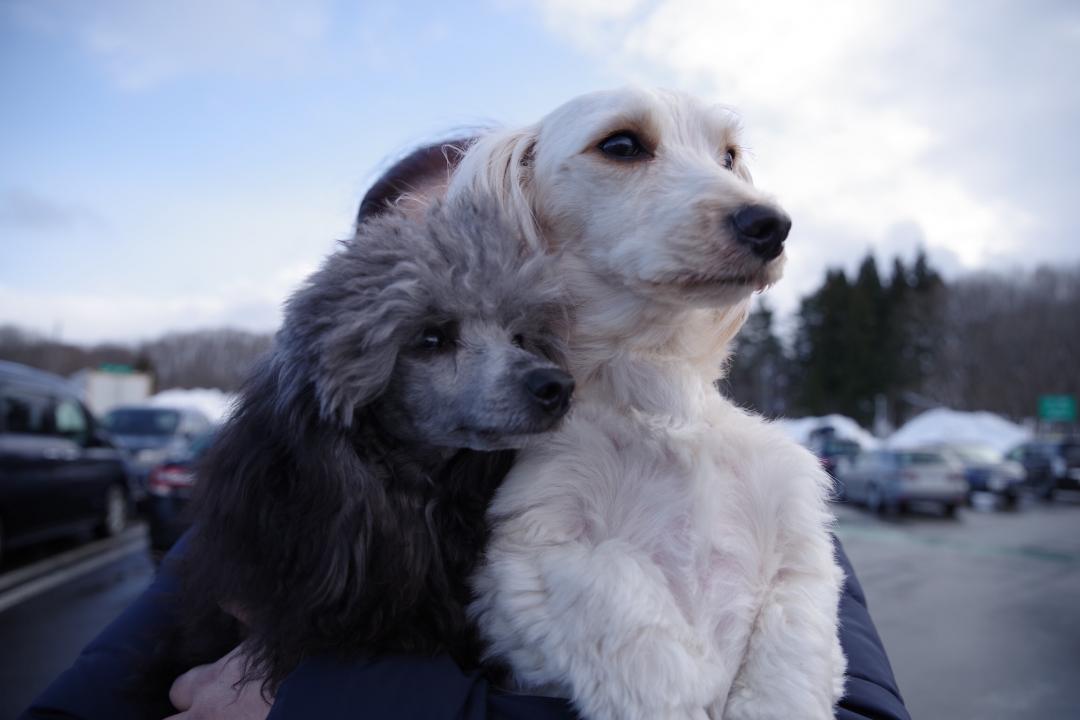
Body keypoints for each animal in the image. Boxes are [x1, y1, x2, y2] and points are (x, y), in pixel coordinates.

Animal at [451, 88, 846, 720]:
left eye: (728, 155)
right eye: (620, 144)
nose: (772, 224)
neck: (657, 387)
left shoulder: (802, 555)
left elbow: (788, 668)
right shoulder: (530, 551)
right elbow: (627, 612)